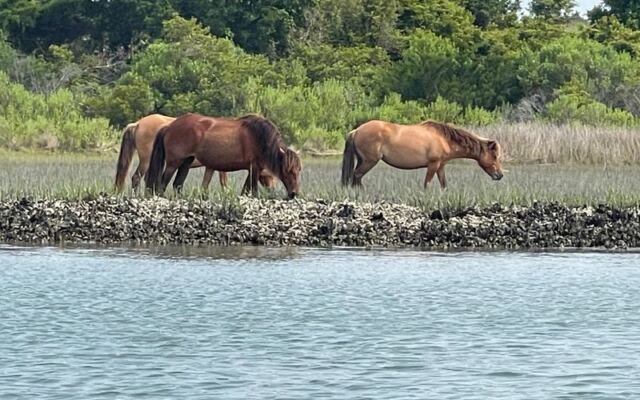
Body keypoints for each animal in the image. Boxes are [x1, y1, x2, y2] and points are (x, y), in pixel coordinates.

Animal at [114, 114, 274, 192]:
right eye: (269, 174)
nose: (272, 189)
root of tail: (138, 123)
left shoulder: (211, 166)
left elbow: (206, 184)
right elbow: (223, 183)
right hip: (146, 160)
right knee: (136, 178)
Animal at [145, 113, 302, 199]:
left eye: (298, 170)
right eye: (287, 171)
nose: (294, 193)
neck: (259, 137)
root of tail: (169, 127)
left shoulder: (252, 170)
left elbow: (245, 191)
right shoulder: (254, 168)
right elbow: (253, 191)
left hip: (186, 162)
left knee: (177, 185)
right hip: (173, 163)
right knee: (161, 186)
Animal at [341, 120, 503, 188]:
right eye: (495, 156)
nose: (500, 175)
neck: (444, 139)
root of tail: (356, 130)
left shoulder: (440, 167)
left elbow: (444, 185)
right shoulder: (433, 165)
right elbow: (427, 184)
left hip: (363, 160)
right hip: (369, 162)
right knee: (357, 175)